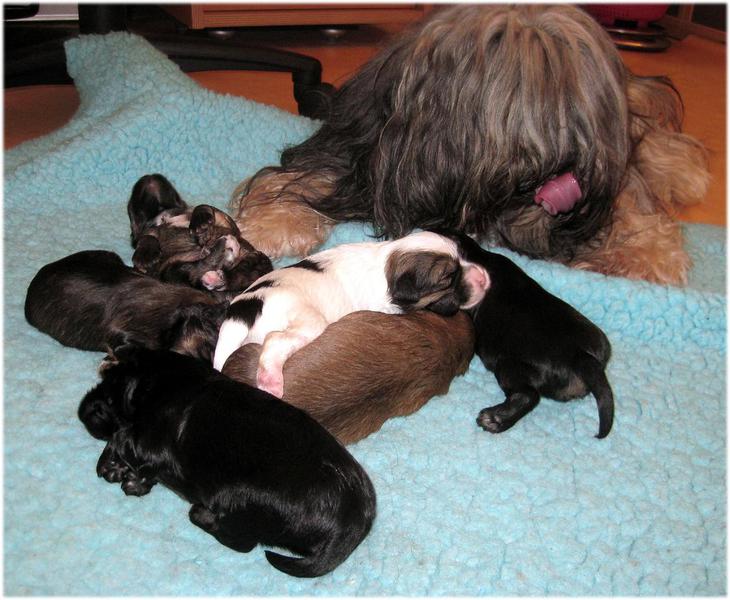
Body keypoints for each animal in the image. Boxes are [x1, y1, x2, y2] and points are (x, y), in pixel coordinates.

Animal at [78, 346, 377, 578]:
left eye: (108, 399)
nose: (82, 412)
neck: (162, 381)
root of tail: (352, 523)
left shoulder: (151, 443)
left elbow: (122, 436)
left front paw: (112, 465)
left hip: (236, 495)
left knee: (242, 541)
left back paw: (202, 515)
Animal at [128, 173, 272, 294]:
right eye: (134, 212)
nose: (150, 178)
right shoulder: (149, 234)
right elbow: (146, 237)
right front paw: (145, 255)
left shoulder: (226, 221)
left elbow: (203, 207)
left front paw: (201, 224)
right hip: (172, 271)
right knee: (201, 271)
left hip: (259, 264)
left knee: (239, 274)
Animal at [212, 231, 490, 397]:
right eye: (448, 278)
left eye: (462, 256)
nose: (485, 279)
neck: (387, 265)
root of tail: (246, 305)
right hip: (307, 320)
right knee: (274, 340)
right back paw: (271, 380)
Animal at [231, 4, 709, 285]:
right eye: (525, 113)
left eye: (583, 119)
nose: (571, 176)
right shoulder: (354, 146)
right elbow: (300, 179)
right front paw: (271, 226)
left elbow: (651, 239)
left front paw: (626, 255)